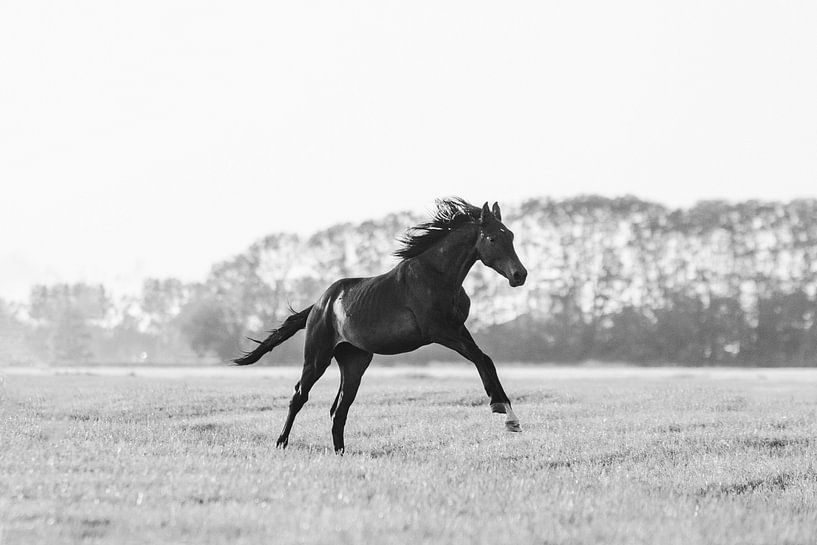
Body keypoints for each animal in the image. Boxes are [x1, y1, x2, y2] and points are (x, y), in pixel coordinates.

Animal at [234, 198, 528, 453]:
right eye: (492, 238)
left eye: (512, 236)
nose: (520, 275)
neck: (436, 276)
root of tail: (318, 305)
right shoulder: (439, 331)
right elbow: (480, 357)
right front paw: (503, 411)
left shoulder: (457, 329)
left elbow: (485, 359)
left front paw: (509, 415)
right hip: (317, 357)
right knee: (299, 396)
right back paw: (281, 443)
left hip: (354, 361)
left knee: (339, 409)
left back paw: (340, 452)